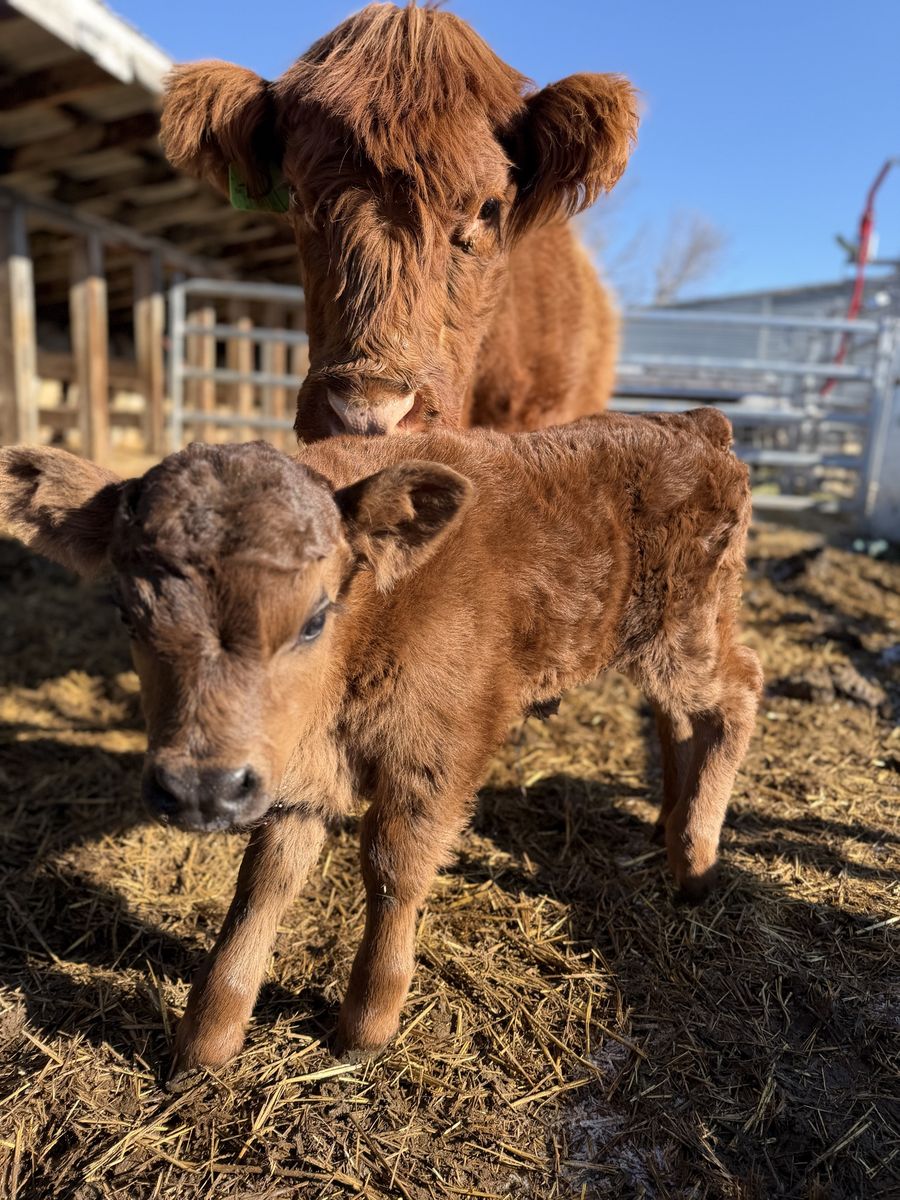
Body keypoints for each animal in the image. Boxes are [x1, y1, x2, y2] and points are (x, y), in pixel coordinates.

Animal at [0, 410, 761, 1076]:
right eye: (127, 613)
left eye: (315, 619)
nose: (199, 789)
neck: (372, 614)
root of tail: (695, 425)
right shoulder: (294, 776)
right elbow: (264, 886)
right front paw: (207, 1040)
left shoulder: (438, 751)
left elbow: (394, 867)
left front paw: (367, 1025)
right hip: (657, 647)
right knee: (676, 718)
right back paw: (669, 822)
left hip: (687, 630)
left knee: (738, 693)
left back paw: (695, 858)